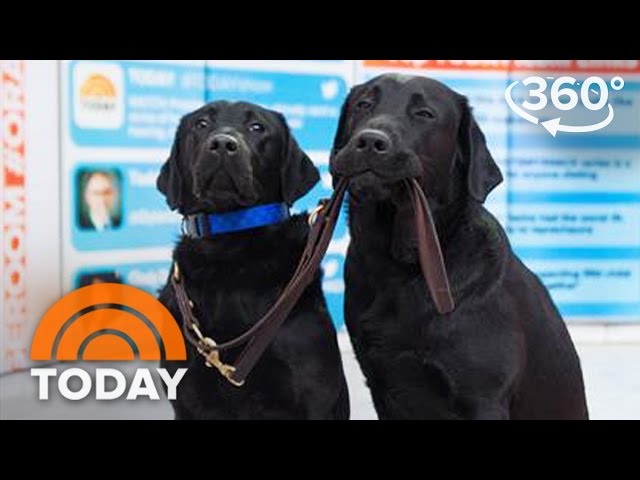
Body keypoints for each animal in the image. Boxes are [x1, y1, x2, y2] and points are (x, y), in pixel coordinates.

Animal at [332, 75, 588, 420]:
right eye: (363, 104)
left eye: (424, 114)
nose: (370, 141)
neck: (403, 269)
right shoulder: (383, 386)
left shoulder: (483, 396)